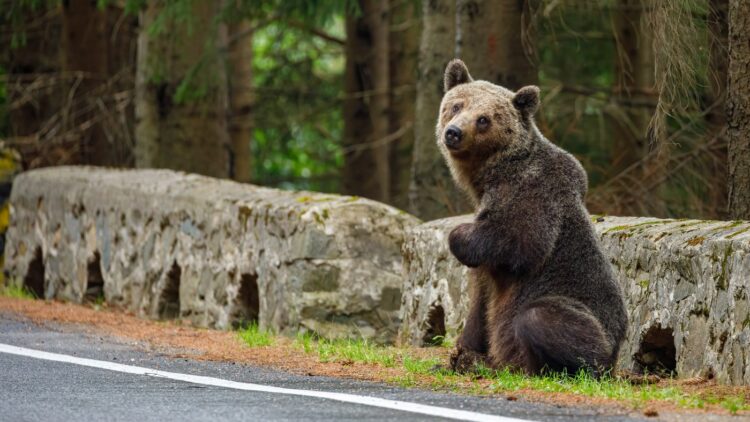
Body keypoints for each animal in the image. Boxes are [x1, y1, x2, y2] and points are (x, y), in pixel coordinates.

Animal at [440, 59, 628, 376]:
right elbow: (480, 302)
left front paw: (459, 235)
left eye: (484, 119)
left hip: (591, 321)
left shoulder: (533, 189)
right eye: (456, 105)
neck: (489, 174)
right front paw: (461, 353)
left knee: (540, 317)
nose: (453, 132)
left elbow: (523, 242)